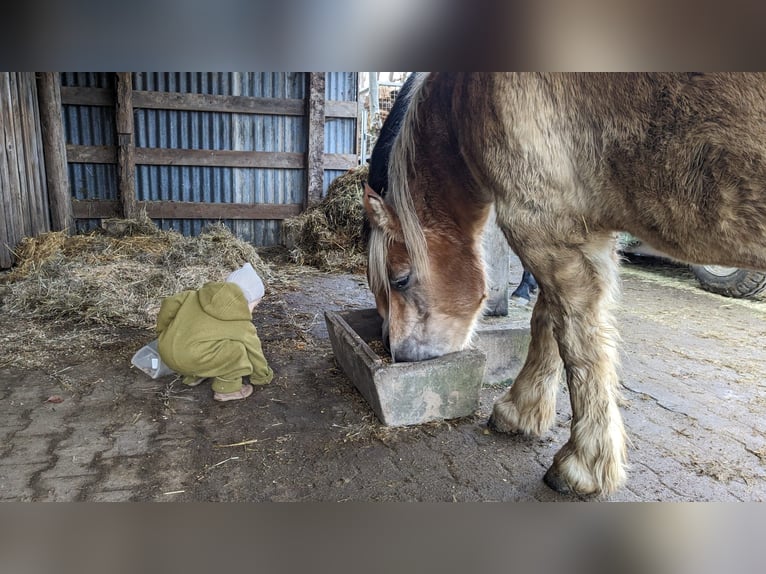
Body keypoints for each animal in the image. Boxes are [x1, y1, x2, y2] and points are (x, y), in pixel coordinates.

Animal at [364, 72, 766, 498]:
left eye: (400, 278)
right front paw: (521, 411)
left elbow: (576, 341)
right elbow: (547, 320)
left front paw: (582, 466)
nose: (399, 355)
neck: (464, 97)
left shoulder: (546, 227)